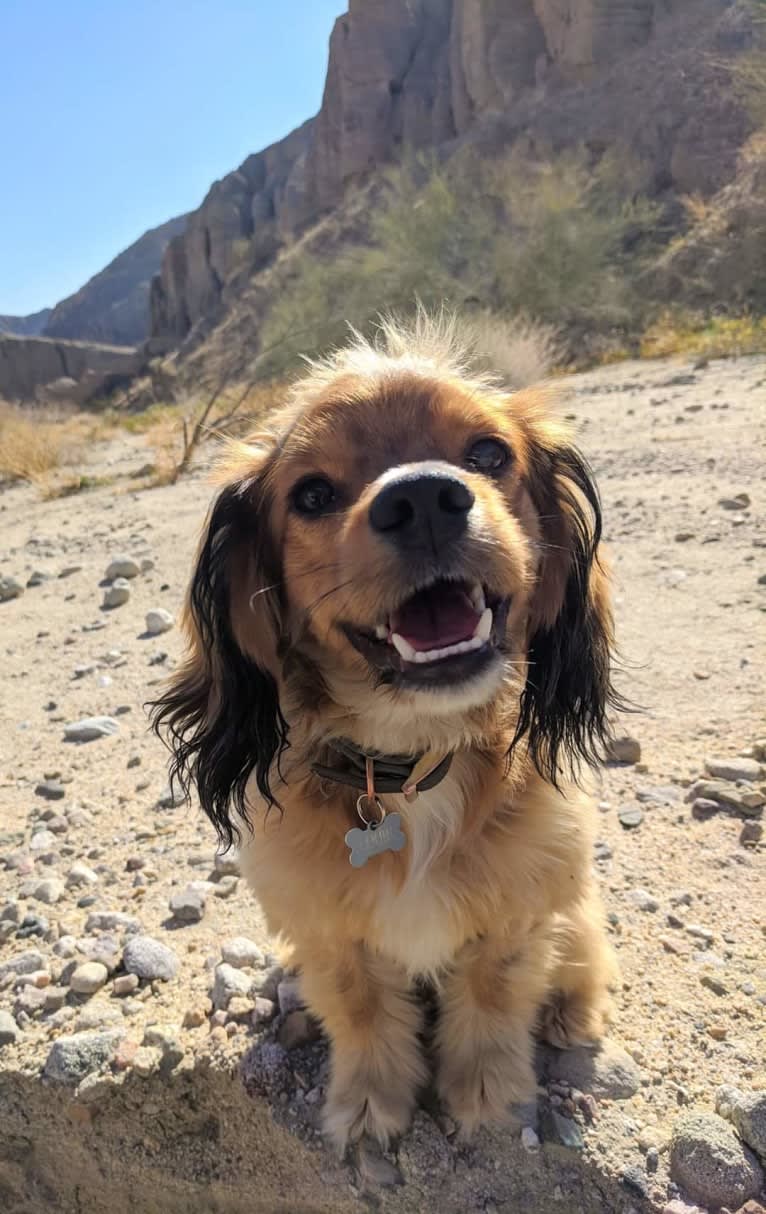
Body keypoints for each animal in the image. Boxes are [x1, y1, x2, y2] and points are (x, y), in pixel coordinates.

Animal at [152, 313, 621, 1146]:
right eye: (311, 493)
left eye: (487, 454)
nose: (424, 498)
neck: (411, 764)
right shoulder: (331, 934)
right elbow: (364, 1014)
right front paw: (370, 1106)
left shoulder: (517, 912)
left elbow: (494, 1002)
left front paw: (487, 1100)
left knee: (584, 957)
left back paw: (572, 1013)